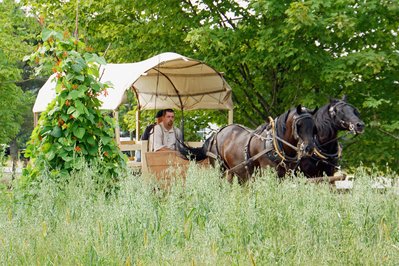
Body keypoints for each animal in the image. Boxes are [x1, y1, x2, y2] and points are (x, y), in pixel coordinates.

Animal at [178, 105, 318, 184]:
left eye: (313, 126)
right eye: (299, 125)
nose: (309, 148)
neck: (276, 144)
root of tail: (216, 133)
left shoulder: (286, 175)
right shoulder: (268, 173)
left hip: (236, 171)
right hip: (221, 169)